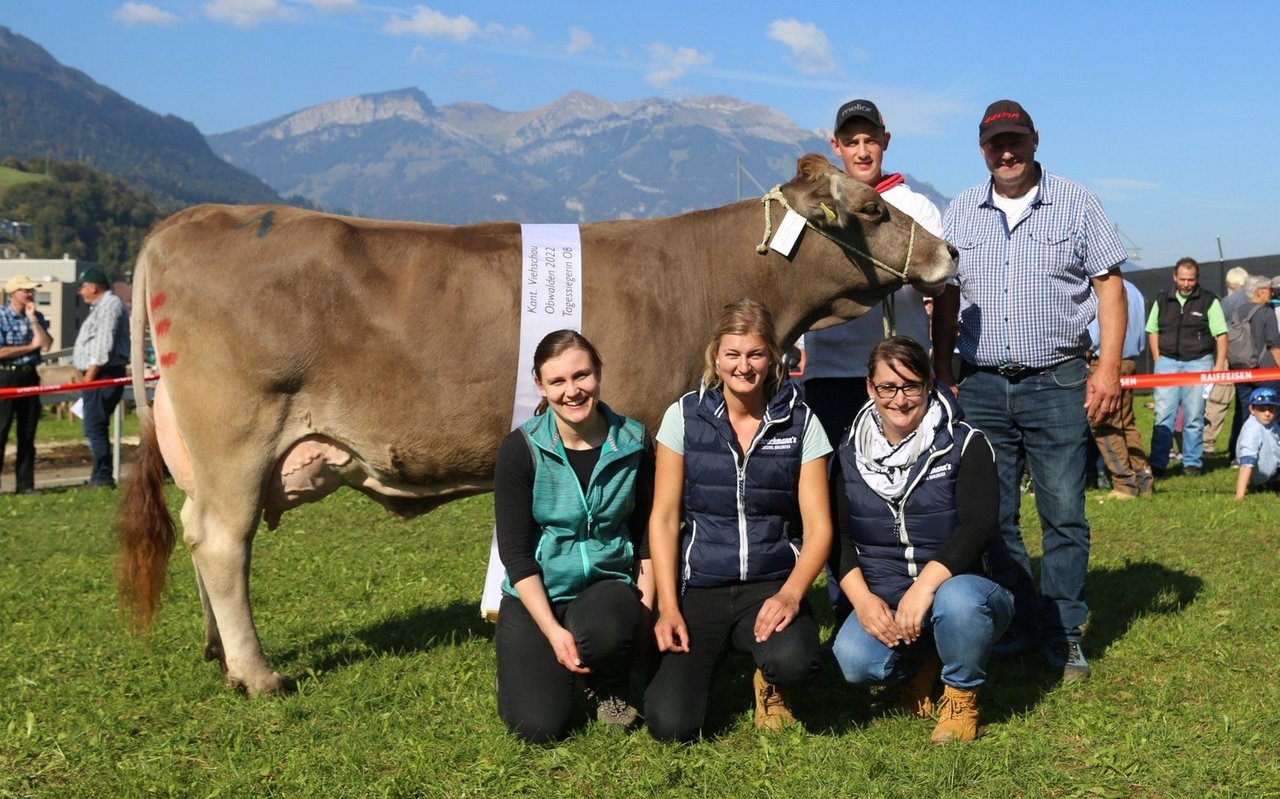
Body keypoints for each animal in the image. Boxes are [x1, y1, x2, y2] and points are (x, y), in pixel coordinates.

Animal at [117, 153, 957, 697]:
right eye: (874, 210)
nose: (948, 252)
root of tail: (185, 222)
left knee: (200, 532)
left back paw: (217, 651)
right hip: (237, 430)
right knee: (221, 539)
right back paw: (256, 672)